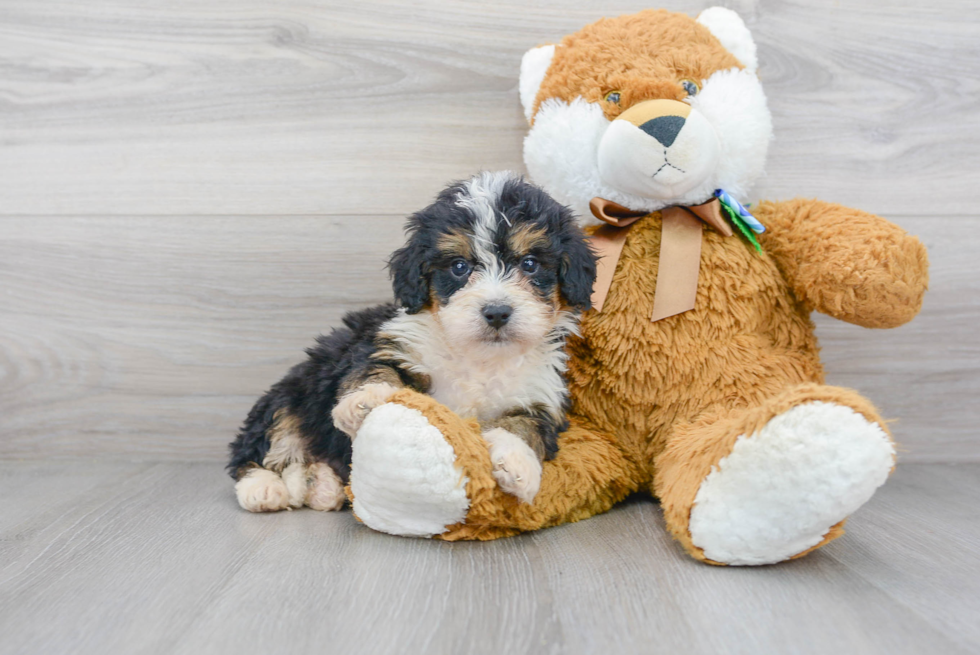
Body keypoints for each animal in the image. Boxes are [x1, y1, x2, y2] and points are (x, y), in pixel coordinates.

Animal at [228, 172, 596, 516]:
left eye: (530, 264)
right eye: (459, 267)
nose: (497, 312)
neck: (479, 356)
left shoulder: (541, 393)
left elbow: (525, 426)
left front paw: (517, 464)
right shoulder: (390, 343)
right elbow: (375, 370)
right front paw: (365, 400)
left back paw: (322, 486)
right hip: (289, 396)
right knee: (258, 448)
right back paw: (263, 489)